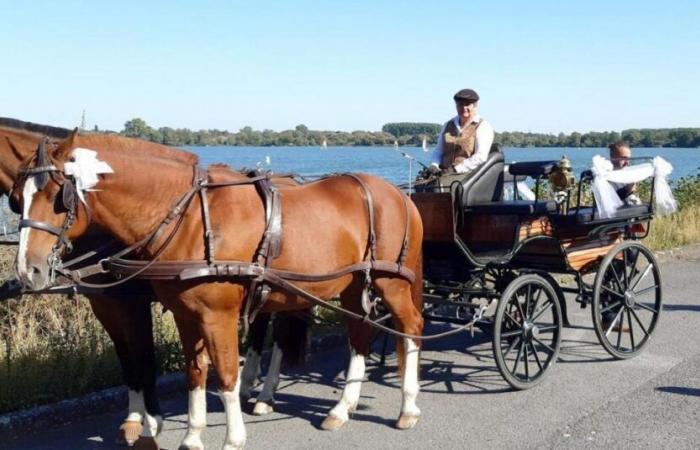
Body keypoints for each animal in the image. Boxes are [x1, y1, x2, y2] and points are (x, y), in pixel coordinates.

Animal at [13, 132, 424, 448]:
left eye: (58, 196)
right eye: (17, 198)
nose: (27, 270)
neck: (189, 216)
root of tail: (398, 195)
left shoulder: (216, 316)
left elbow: (226, 374)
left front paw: (232, 438)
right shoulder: (186, 315)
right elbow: (196, 372)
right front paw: (192, 437)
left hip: (391, 283)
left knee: (411, 329)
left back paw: (408, 407)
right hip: (355, 286)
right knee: (359, 336)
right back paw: (341, 408)